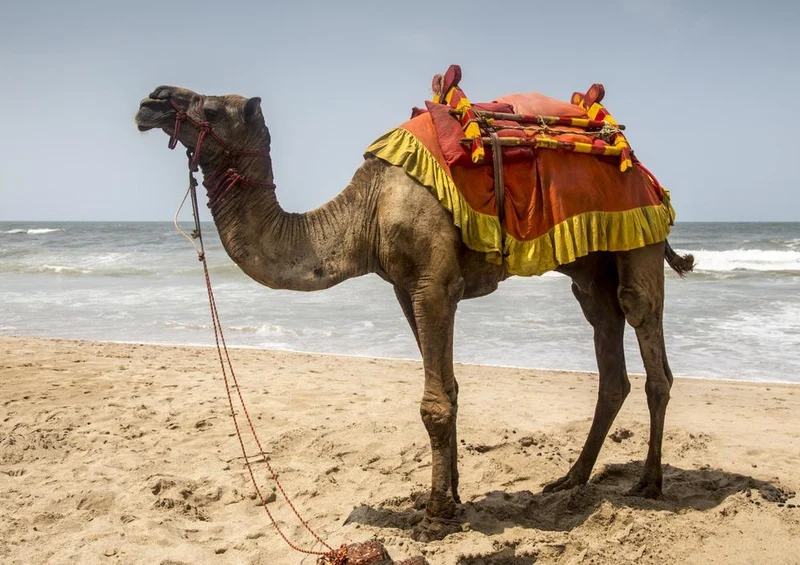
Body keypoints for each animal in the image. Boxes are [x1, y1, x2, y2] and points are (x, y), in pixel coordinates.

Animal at [135, 85, 694, 542]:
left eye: (209, 107)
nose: (152, 101)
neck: (366, 210)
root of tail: (644, 172)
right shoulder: (406, 289)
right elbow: (448, 388)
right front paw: (456, 501)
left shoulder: (433, 283)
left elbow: (433, 403)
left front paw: (434, 517)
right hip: (591, 263)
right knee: (606, 341)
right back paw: (571, 479)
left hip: (638, 234)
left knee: (645, 335)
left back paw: (648, 483)